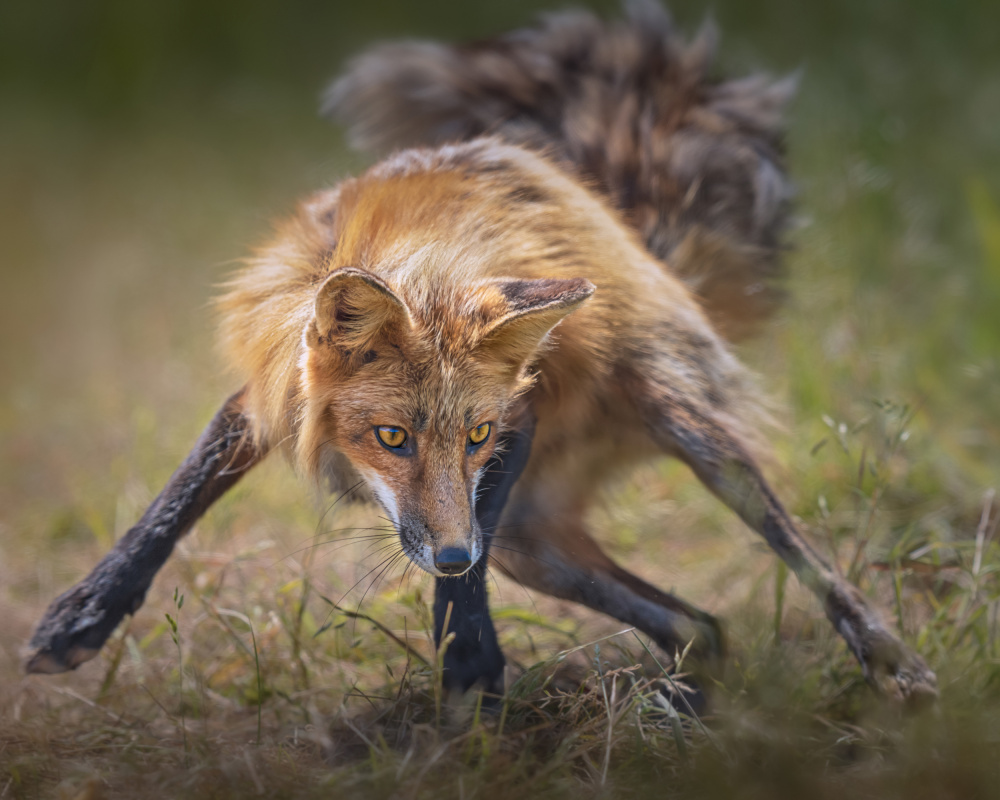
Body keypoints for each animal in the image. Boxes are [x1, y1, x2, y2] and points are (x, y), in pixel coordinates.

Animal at [25, 0, 936, 704]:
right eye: (391, 438)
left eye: (475, 436)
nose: (456, 548)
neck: (427, 271)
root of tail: (625, 223)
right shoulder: (271, 394)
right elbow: (173, 500)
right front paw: (86, 614)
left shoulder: (518, 414)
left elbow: (462, 574)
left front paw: (467, 655)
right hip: (540, 549)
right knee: (699, 628)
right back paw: (684, 702)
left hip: (691, 437)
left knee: (806, 566)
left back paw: (889, 661)